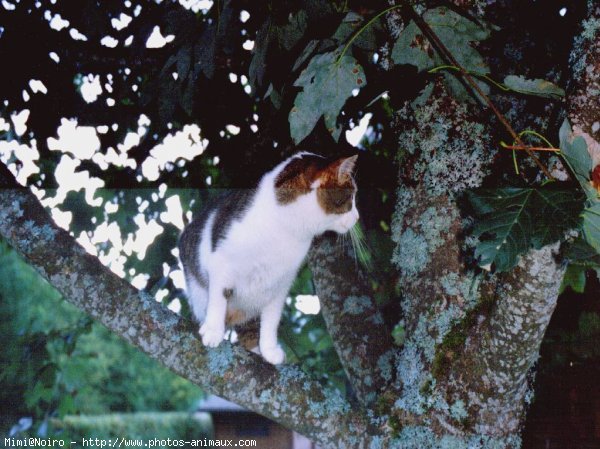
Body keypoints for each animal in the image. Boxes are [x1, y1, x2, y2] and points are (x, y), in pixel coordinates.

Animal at [176, 152, 358, 362]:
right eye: (351, 196)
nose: (357, 217)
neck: (286, 229)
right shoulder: (222, 264)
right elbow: (218, 298)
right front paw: (214, 330)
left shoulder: (281, 283)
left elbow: (271, 319)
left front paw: (269, 349)